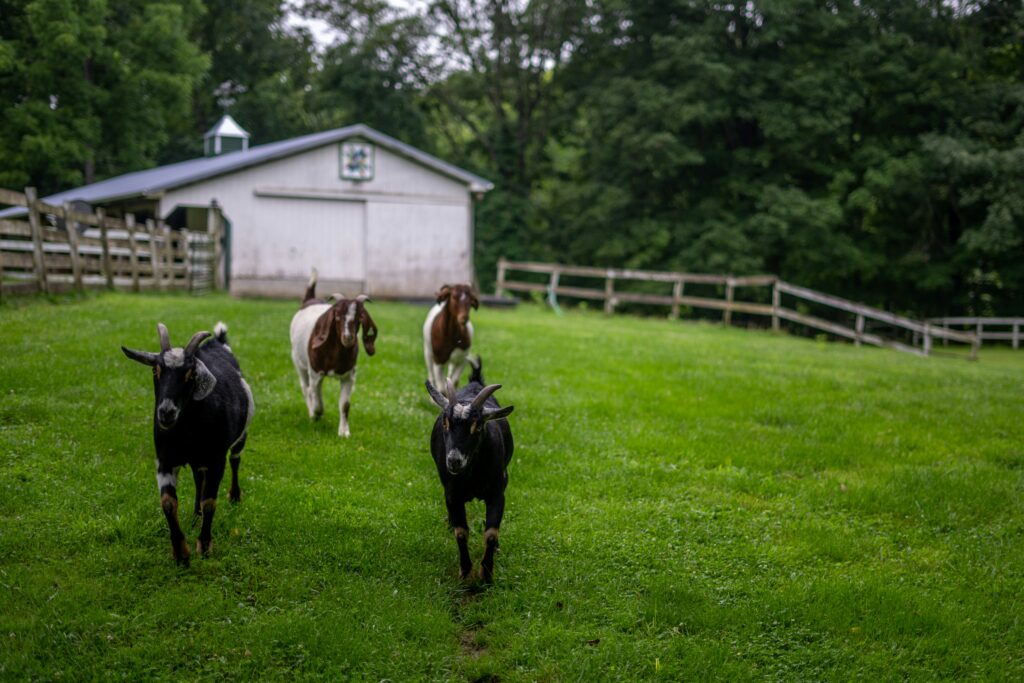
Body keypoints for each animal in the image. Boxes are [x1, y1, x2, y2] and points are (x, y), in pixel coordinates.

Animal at [121, 322, 253, 566]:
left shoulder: (216, 459)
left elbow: (210, 501)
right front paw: (181, 552)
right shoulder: (164, 460)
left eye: (190, 374)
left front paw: (205, 545)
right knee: (198, 478)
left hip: (241, 437)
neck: (187, 431)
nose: (166, 412)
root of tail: (219, 342)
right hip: (196, 459)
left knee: (235, 460)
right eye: (156, 370)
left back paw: (234, 496)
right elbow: (168, 502)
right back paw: (195, 515)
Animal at [290, 269, 378, 437]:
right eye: (337, 316)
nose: (348, 338)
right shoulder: (315, 373)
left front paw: (344, 432)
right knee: (306, 388)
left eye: (359, 317)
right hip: (299, 362)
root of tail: (310, 300)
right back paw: (311, 413)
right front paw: (315, 414)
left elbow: (345, 405)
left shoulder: (349, 376)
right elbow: (317, 401)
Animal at [425, 358, 514, 582]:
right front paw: (465, 572)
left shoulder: (497, 492)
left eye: (478, 426)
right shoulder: (453, 493)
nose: (454, 460)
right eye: (445, 422)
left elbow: (491, 534)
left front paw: (487, 574)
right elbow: (461, 532)